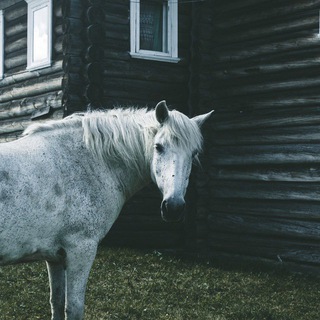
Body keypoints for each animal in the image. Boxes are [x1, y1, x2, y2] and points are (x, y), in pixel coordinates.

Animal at [0, 99, 212, 318]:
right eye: (159, 147)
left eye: (194, 154)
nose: (174, 207)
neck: (86, 163)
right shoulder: (80, 251)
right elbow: (73, 307)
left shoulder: (55, 257)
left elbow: (57, 303)